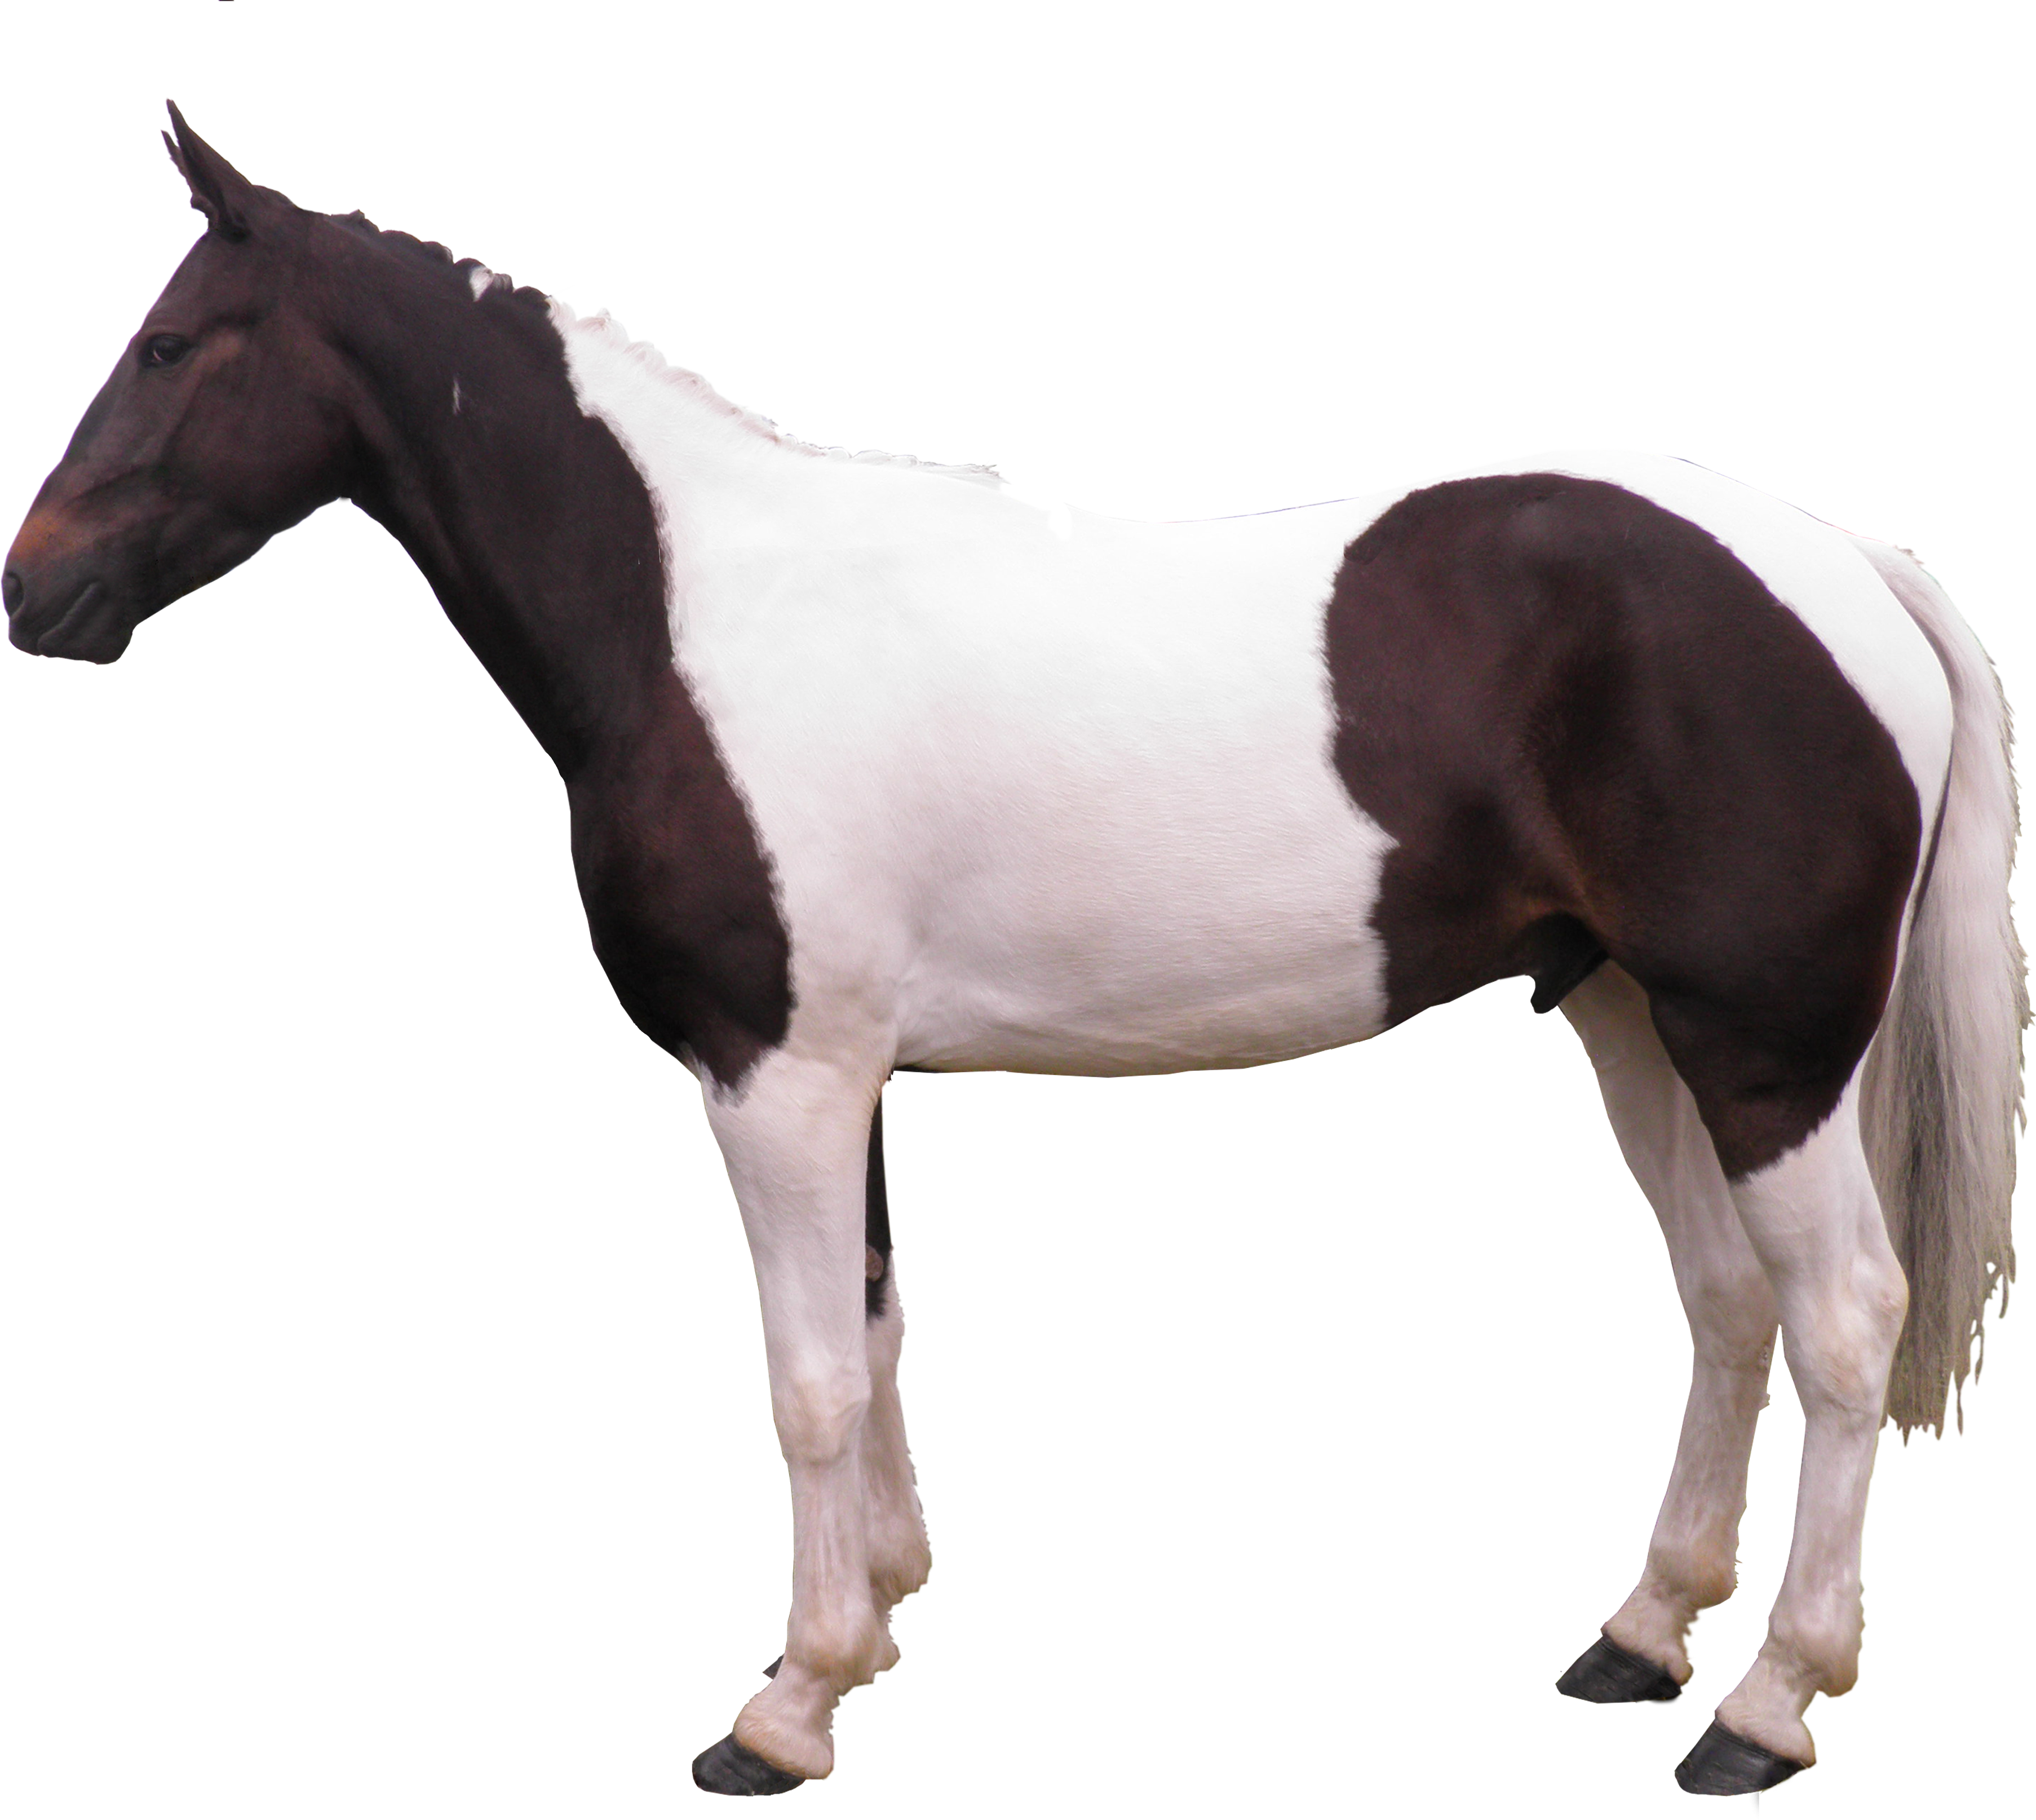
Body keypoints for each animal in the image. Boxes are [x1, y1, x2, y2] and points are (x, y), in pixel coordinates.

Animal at [5, 103, 2020, 1802]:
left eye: (173, 344)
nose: (34, 588)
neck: (694, 613)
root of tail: (1846, 577)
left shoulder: (776, 1070)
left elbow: (811, 1378)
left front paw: (783, 1706)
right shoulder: (837, 1071)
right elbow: (870, 1337)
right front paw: (877, 1620)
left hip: (1763, 1051)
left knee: (1844, 1315)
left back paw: (1767, 1704)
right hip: (1632, 1018)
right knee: (1733, 1306)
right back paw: (1640, 1641)